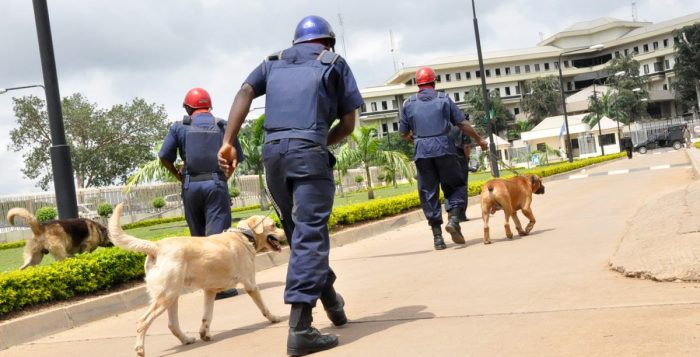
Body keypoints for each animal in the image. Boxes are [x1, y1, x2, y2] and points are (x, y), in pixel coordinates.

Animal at [107, 203, 288, 356]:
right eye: (273, 225)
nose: (286, 232)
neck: (244, 236)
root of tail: (156, 246)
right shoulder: (251, 284)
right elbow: (264, 307)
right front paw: (274, 318)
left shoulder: (210, 291)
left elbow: (207, 316)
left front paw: (204, 334)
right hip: (166, 295)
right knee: (143, 321)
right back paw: (140, 349)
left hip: (172, 295)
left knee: (172, 325)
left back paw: (187, 339)